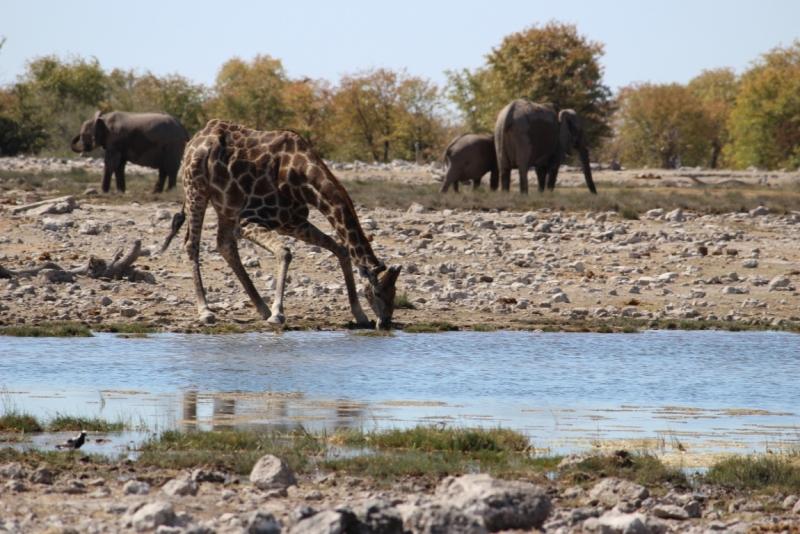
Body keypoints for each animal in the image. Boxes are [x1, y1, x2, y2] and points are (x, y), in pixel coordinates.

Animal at [161, 121, 400, 328]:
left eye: (395, 292)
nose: (386, 322)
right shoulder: (248, 220)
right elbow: (285, 252)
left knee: (225, 244)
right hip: (196, 188)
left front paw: (360, 315)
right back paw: (206, 312)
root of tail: (196, 138)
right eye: (376, 292)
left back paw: (262, 308)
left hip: (225, 204)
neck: (301, 176)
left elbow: (341, 249)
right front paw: (278, 314)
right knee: (192, 244)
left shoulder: (291, 221)